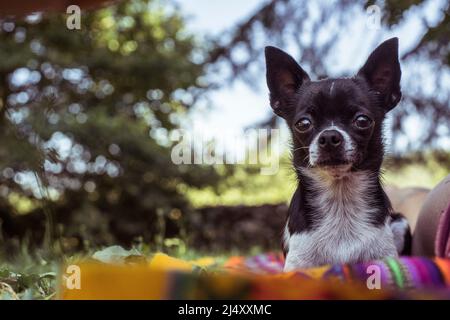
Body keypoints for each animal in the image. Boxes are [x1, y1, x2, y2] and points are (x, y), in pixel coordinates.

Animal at [264, 38, 412, 272]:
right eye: (303, 123)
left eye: (362, 120)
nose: (329, 136)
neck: (340, 198)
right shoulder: (298, 265)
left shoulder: (384, 256)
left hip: (400, 222)